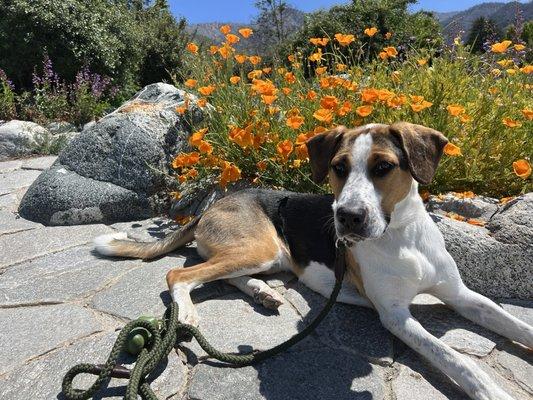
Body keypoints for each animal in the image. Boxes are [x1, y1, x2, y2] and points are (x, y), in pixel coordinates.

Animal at [95, 122, 532, 400]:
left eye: (384, 167)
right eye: (339, 168)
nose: (347, 217)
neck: (400, 237)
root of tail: (212, 206)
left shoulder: (461, 295)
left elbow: (515, 325)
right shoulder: (395, 316)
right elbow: (457, 359)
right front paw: (493, 391)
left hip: (268, 256)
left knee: (225, 275)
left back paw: (262, 292)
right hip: (259, 248)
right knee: (179, 272)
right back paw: (186, 314)